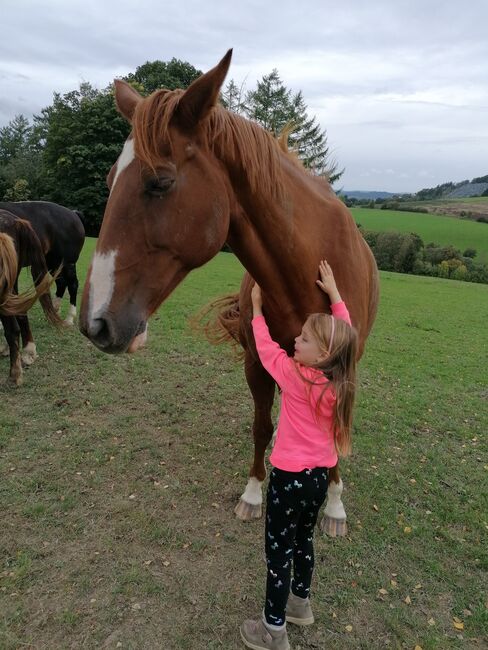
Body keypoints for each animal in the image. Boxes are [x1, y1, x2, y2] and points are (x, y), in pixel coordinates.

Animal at [80, 50, 380, 536]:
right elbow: (261, 425)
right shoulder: (257, 361)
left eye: (160, 182)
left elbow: (334, 429)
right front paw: (254, 493)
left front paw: (334, 506)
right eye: (109, 179)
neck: (305, 265)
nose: (94, 322)